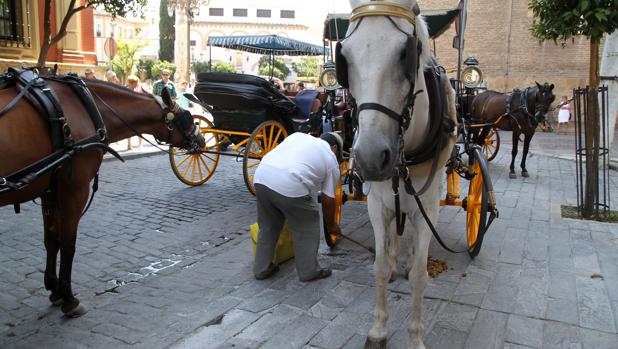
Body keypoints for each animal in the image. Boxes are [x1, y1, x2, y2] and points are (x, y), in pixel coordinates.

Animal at [0, 73, 205, 316]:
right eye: (187, 117)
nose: (201, 141)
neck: (84, 106)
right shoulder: (75, 190)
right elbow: (68, 243)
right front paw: (69, 298)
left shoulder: (50, 190)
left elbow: (51, 239)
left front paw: (54, 289)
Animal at [334, 1, 454, 346]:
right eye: (345, 56)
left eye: (406, 53)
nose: (371, 157)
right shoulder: (377, 204)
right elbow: (377, 266)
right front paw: (378, 329)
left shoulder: (429, 207)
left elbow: (419, 276)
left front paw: (415, 337)